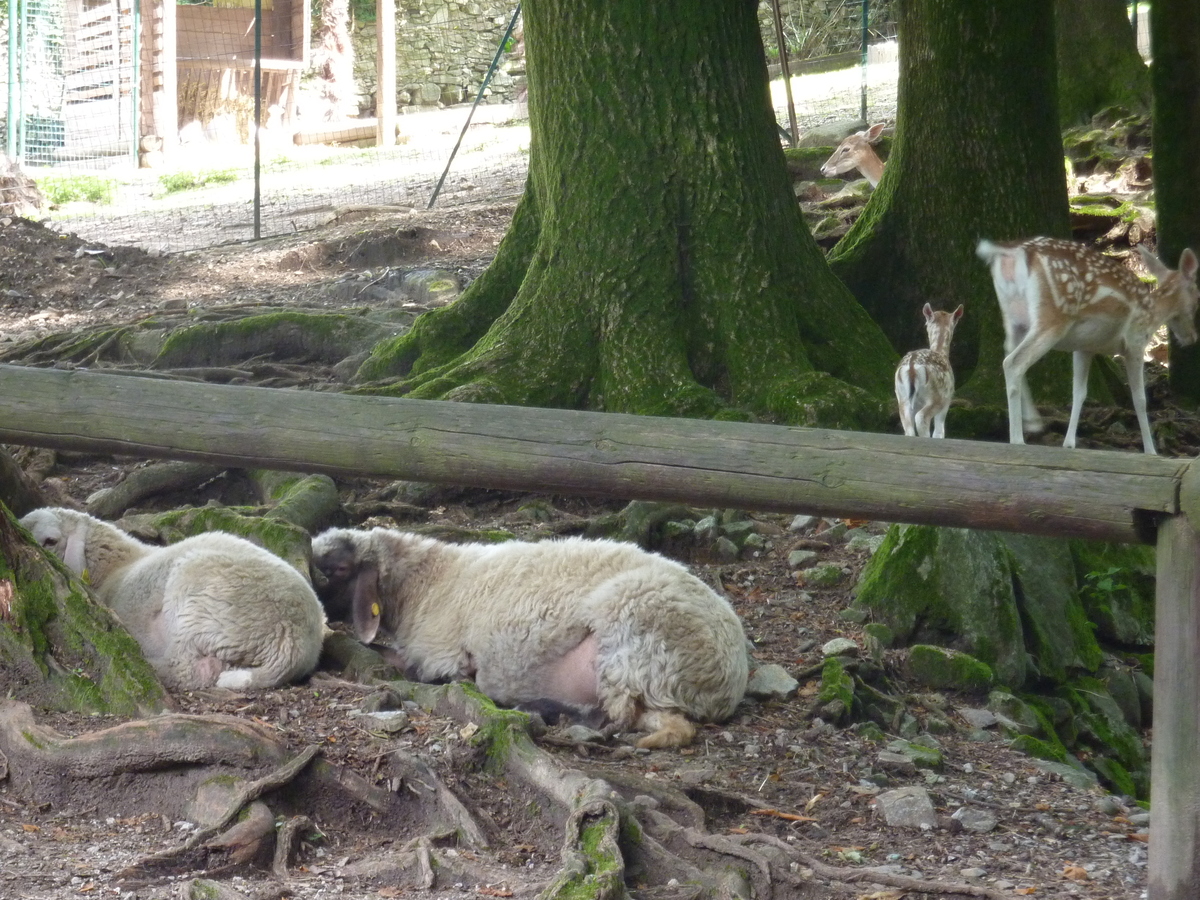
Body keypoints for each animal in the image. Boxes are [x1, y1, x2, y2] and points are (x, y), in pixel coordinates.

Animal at [309, 528, 748, 753]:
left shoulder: (439, 656)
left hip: (629, 635)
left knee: (619, 716)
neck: (430, 579)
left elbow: (402, 662)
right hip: (651, 682)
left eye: (339, 569)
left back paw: (550, 713)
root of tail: (727, 681)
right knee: (667, 724)